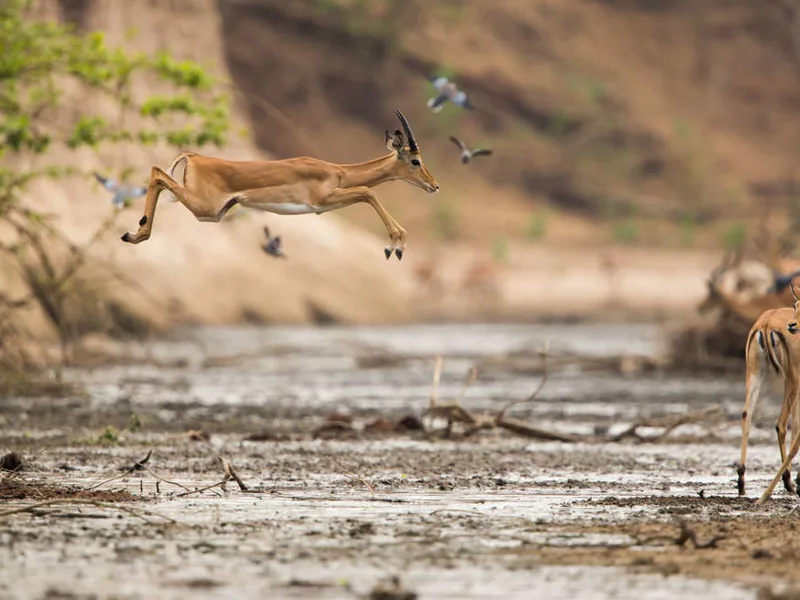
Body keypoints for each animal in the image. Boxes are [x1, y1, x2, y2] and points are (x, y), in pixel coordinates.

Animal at [120, 110, 439, 261]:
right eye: (415, 160)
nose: (435, 185)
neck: (337, 171)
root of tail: (196, 157)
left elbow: (367, 193)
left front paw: (396, 247)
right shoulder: (322, 202)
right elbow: (368, 191)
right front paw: (394, 246)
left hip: (213, 212)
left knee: (158, 174)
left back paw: (133, 234)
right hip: (205, 208)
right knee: (157, 171)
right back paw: (134, 234)